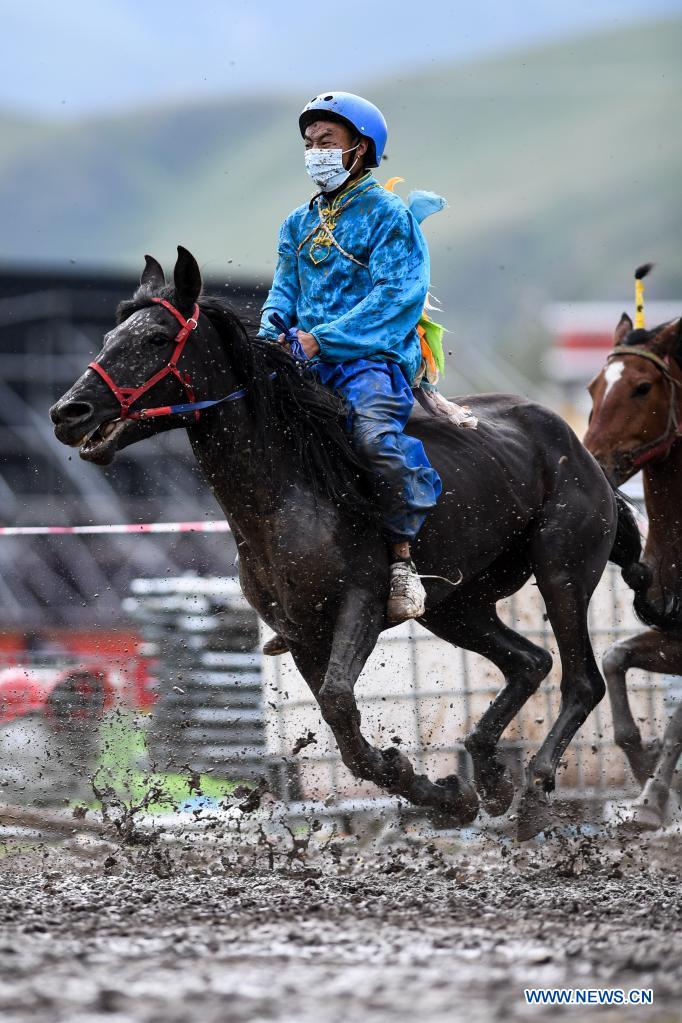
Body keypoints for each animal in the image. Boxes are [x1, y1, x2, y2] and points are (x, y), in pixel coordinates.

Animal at [50, 246, 643, 840]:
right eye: (109, 337)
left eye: (155, 338)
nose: (67, 412)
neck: (291, 490)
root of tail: (579, 450)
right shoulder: (302, 634)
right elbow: (345, 735)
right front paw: (446, 796)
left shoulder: (359, 605)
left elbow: (340, 706)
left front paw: (430, 786)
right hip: (456, 607)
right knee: (529, 662)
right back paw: (492, 777)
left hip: (562, 572)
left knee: (581, 680)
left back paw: (535, 789)